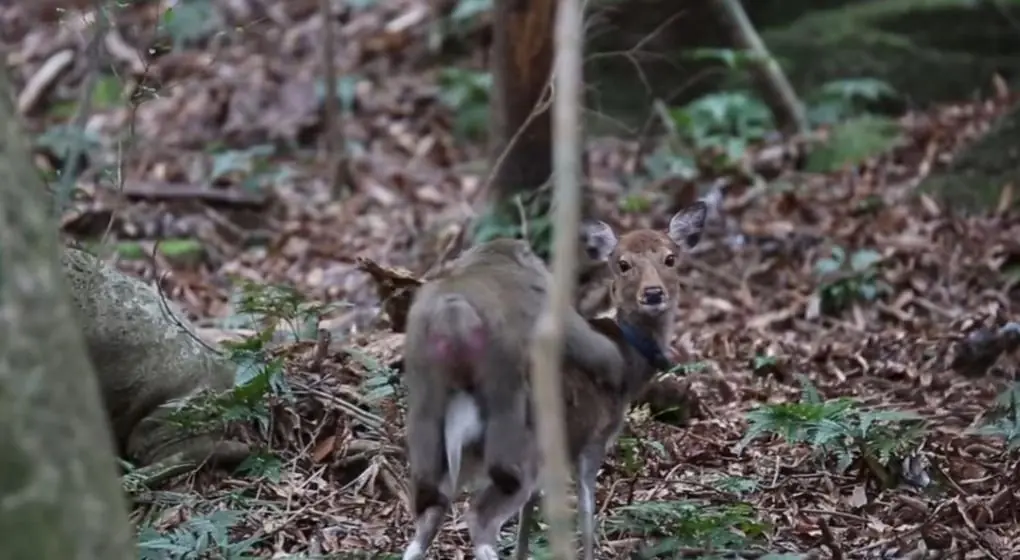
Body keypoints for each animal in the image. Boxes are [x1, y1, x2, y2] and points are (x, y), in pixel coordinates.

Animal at [401, 237, 626, 519]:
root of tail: (454, 310)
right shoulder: (541, 291)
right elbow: (576, 339)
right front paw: (616, 366)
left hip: (423, 348)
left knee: (425, 413)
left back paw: (425, 491)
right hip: (497, 345)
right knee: (505, 402)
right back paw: (505, 473)